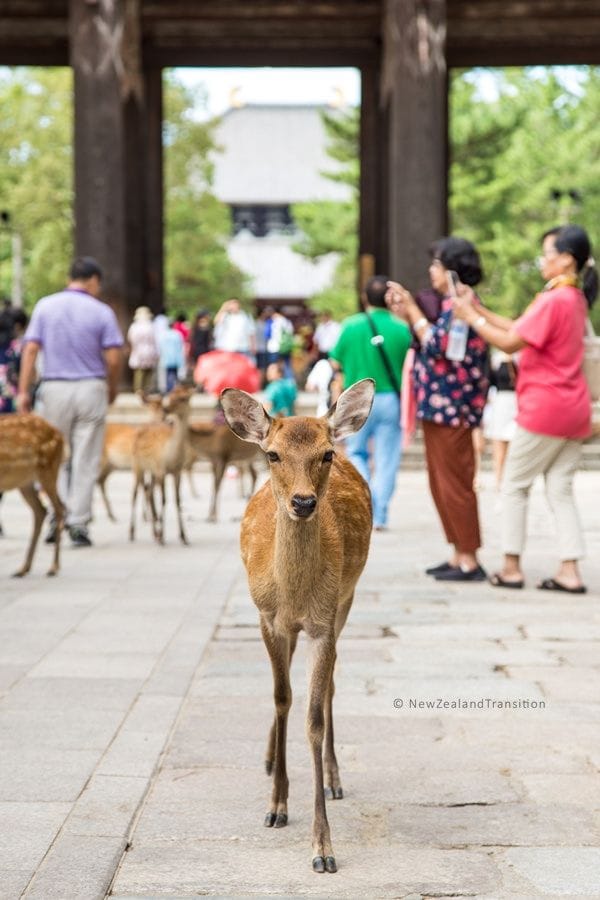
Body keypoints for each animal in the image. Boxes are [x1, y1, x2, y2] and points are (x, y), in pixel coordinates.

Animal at [0, 414, 64, 576]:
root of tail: (60, 434)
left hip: (48, 468)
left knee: (59, 508)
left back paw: (53, 567)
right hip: (25, 481)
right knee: (41, 510)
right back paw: (23, 568)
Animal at [130, 384, 193, 544]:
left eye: (183, 398)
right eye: (170, 396)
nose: (166, 410)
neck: (172, 456)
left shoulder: (177, 471)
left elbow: (177, 500)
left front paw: (183, 536)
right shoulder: (161, 469)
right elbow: (164, 500)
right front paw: (163, 536)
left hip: (151, 471)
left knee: (148, 491)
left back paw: (154, 532)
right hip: (137, 465)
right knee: (135, 493)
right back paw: (132, 532)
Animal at [220, 378, 376, 872]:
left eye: (324, 454)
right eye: (272, 454)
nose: (304, 502)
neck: (294, 594)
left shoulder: (323, 621)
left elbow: (312, 715)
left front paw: (323, 848)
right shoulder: (268, 619)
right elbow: (281, 698)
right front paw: (275, 805)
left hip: (348, 598)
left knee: (329, 686)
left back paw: (333, 776)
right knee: (284, 687)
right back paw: (270, 759)